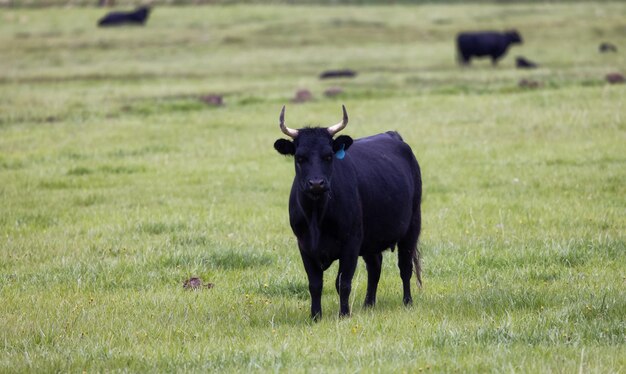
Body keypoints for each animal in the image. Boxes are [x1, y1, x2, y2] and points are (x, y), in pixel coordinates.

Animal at [272, 106, 422, 320]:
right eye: (299, 157)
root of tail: (392, 135)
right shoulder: (304, 246)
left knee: (405, 267)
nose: (316, 183)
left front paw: (344, 314)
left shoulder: (351, 243)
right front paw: (315, 316)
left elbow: (343, 282)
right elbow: (315, 284)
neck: (317, 217)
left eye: (328, 156)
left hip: (412, 226)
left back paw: (407, 302)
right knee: (375, 267)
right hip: (372, 238)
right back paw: (368, 304)